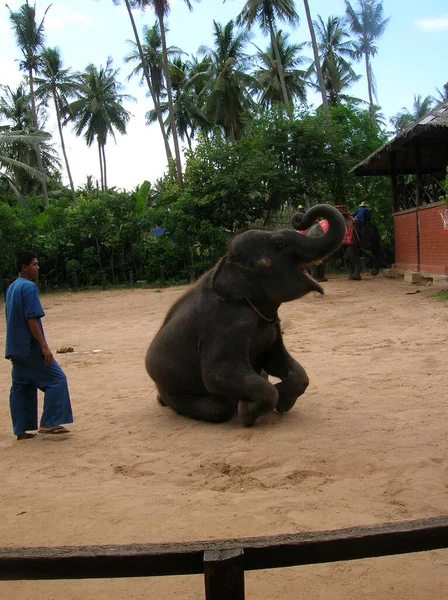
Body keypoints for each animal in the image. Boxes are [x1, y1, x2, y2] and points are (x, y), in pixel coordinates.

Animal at [147, 205, 346, 426]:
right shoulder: (226, 322)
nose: (299, 216)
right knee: (219, 408)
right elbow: (219, 375)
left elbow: (280, 363)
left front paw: (281, 403)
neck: (226, 261)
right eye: (280, 244)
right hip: (172, 389)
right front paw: (246, 412)